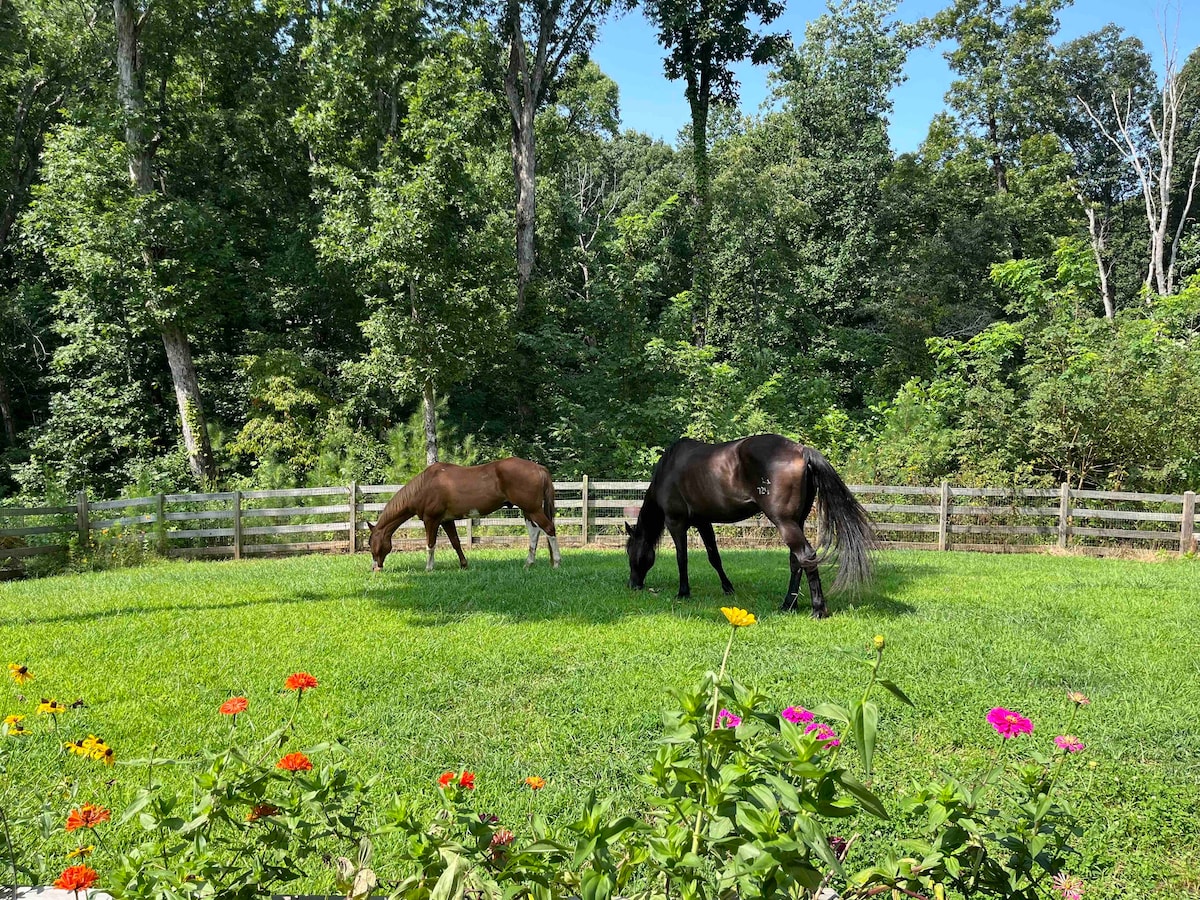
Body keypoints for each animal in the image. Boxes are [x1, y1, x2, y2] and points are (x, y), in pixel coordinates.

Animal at [367, 460, 559, 573]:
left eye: (371, 543)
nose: (375, 568)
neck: (425, 486)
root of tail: (539, 468)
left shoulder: (431, 520)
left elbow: (430, 544)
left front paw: (429, 568)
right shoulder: (446, 521)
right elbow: (455, 543)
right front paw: (464, 565)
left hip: (532, 509)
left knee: (549, 529)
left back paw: (556, 563)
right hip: (527, 511)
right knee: (535, 533)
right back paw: (529, 564)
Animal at [628, 436, 873, 619]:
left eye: (631, 552)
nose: (633, 585)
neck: (668, 469)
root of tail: (802, 451)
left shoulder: (675, 522)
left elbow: (682, 558)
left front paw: (683, 592)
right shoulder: (703, 522)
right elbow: (714, 557)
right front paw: (728, 588)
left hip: (784, 522)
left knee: (806, 556)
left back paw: (818, 609)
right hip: (797, 521)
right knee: (796, 561)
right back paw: (788, 604)